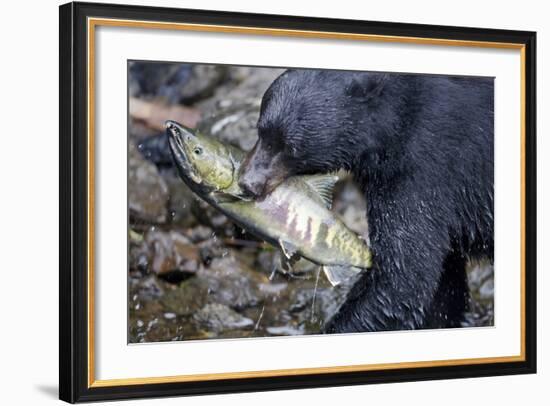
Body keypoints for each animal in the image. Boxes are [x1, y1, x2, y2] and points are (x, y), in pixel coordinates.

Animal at [239, 68, 494, 332]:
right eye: (260, 131)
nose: (248, 183)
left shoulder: (423, 171)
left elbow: (401, 277)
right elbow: (443, 282)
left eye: (291, 147)